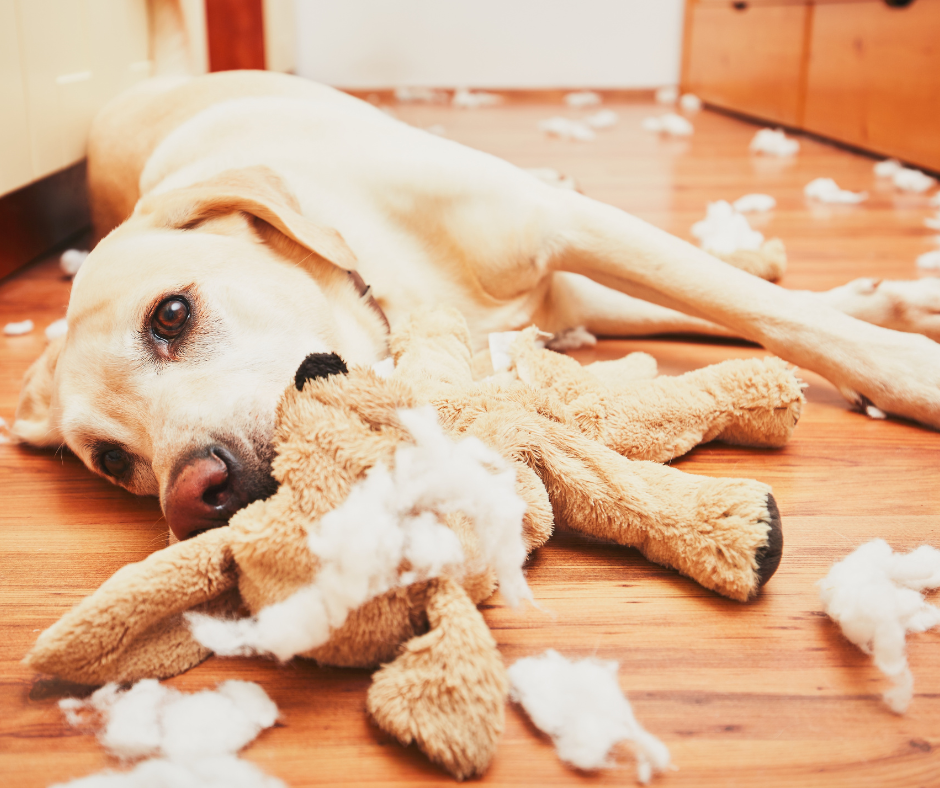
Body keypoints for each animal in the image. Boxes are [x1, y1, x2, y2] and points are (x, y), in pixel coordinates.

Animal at [12, 69, 940, 540]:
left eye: (170, 315)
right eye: (113, 462)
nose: (191, 498)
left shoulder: (566, 234)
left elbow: (770, 309)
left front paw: (907, 364)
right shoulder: (563, 293)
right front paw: (895, 309)